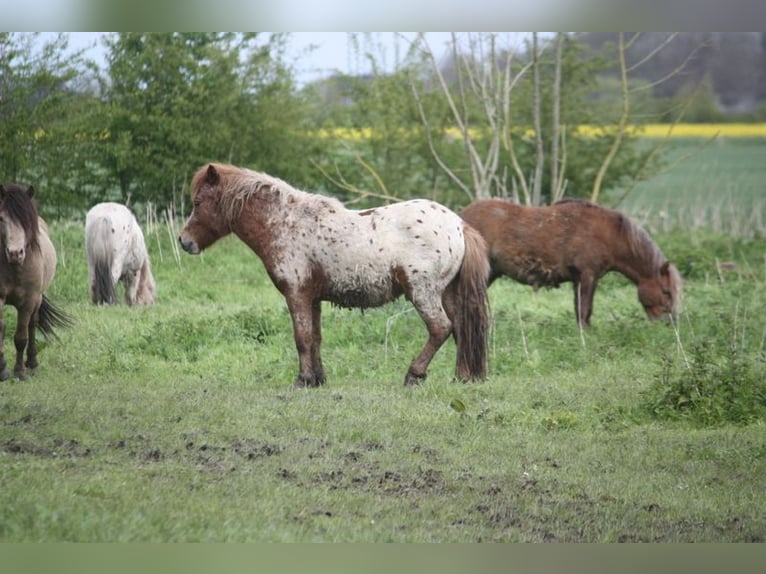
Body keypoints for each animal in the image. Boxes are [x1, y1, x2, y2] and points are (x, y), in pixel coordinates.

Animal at [0, 186, 71, 382]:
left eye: (26, 221)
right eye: (1, 218)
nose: (15, 253)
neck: (15, 268)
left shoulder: (28, 301)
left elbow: (21, 336)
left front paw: (19, 372)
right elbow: (1, 329)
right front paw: (2, 369)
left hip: (36, 300)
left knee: (32, 325)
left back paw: (31, 363)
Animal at [180, 166, 492, 390]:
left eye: (198, 202)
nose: (184, 241)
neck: (284, 222)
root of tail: (459, 225)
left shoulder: (296, 294)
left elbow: (302, 338)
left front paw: (303, 380)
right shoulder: (312, 298)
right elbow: (315, 338)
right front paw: (318, 379)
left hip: (422, 292)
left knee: (441, 328)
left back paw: (414, 375)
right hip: (447, 293)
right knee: (461, 328)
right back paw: (461, 377)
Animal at [462, 198, 684, 328]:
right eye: (666, 292)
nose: (670, 323)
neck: (609, 234)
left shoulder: (583, 279)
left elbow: (582, 309)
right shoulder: (587, 276)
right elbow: (584, 309)